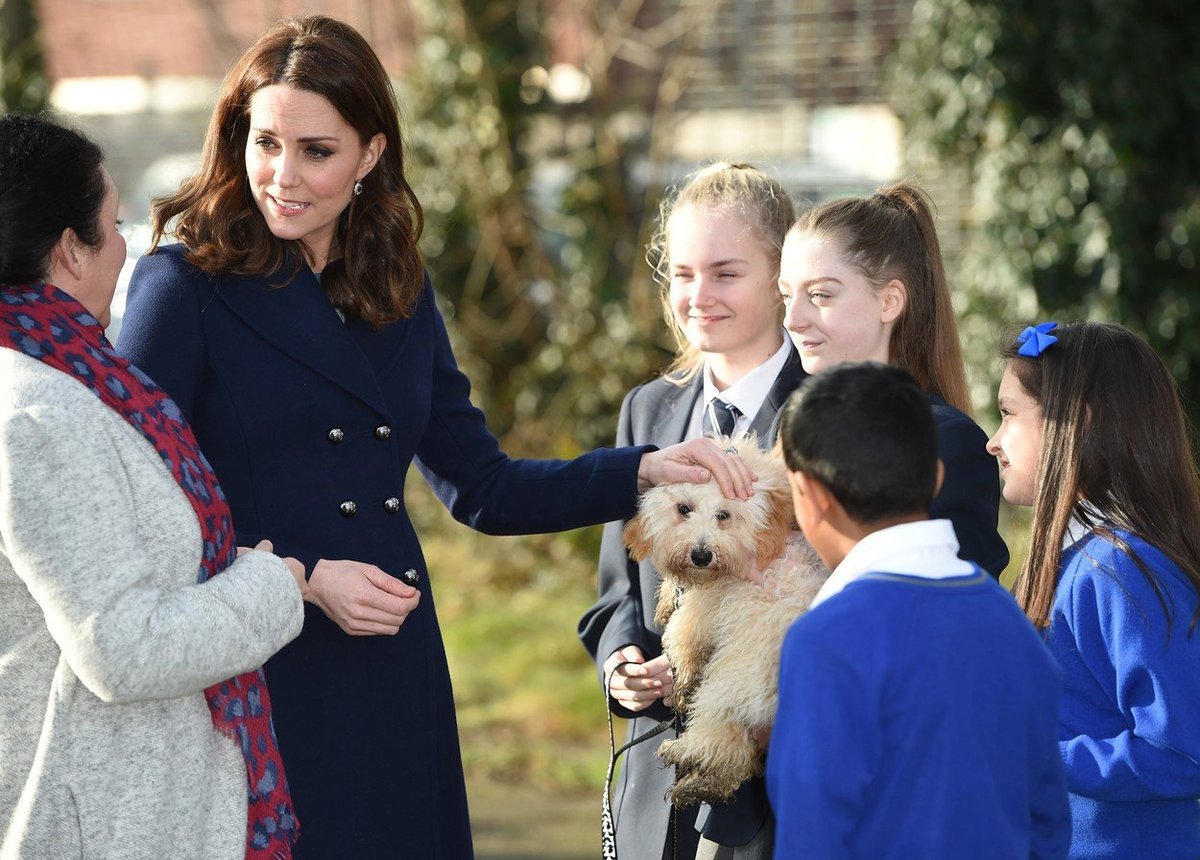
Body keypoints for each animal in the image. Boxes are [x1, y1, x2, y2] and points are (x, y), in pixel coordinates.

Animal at [624, 436, 830, 806]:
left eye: (723, 515)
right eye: (683, 509)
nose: (701, 555)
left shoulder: (715, 598)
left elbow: (683, 630)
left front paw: (681, 671)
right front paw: (666, 599)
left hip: (732, 681)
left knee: (722, 742)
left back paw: (684, 753)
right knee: (734, 756)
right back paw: (698, 783)